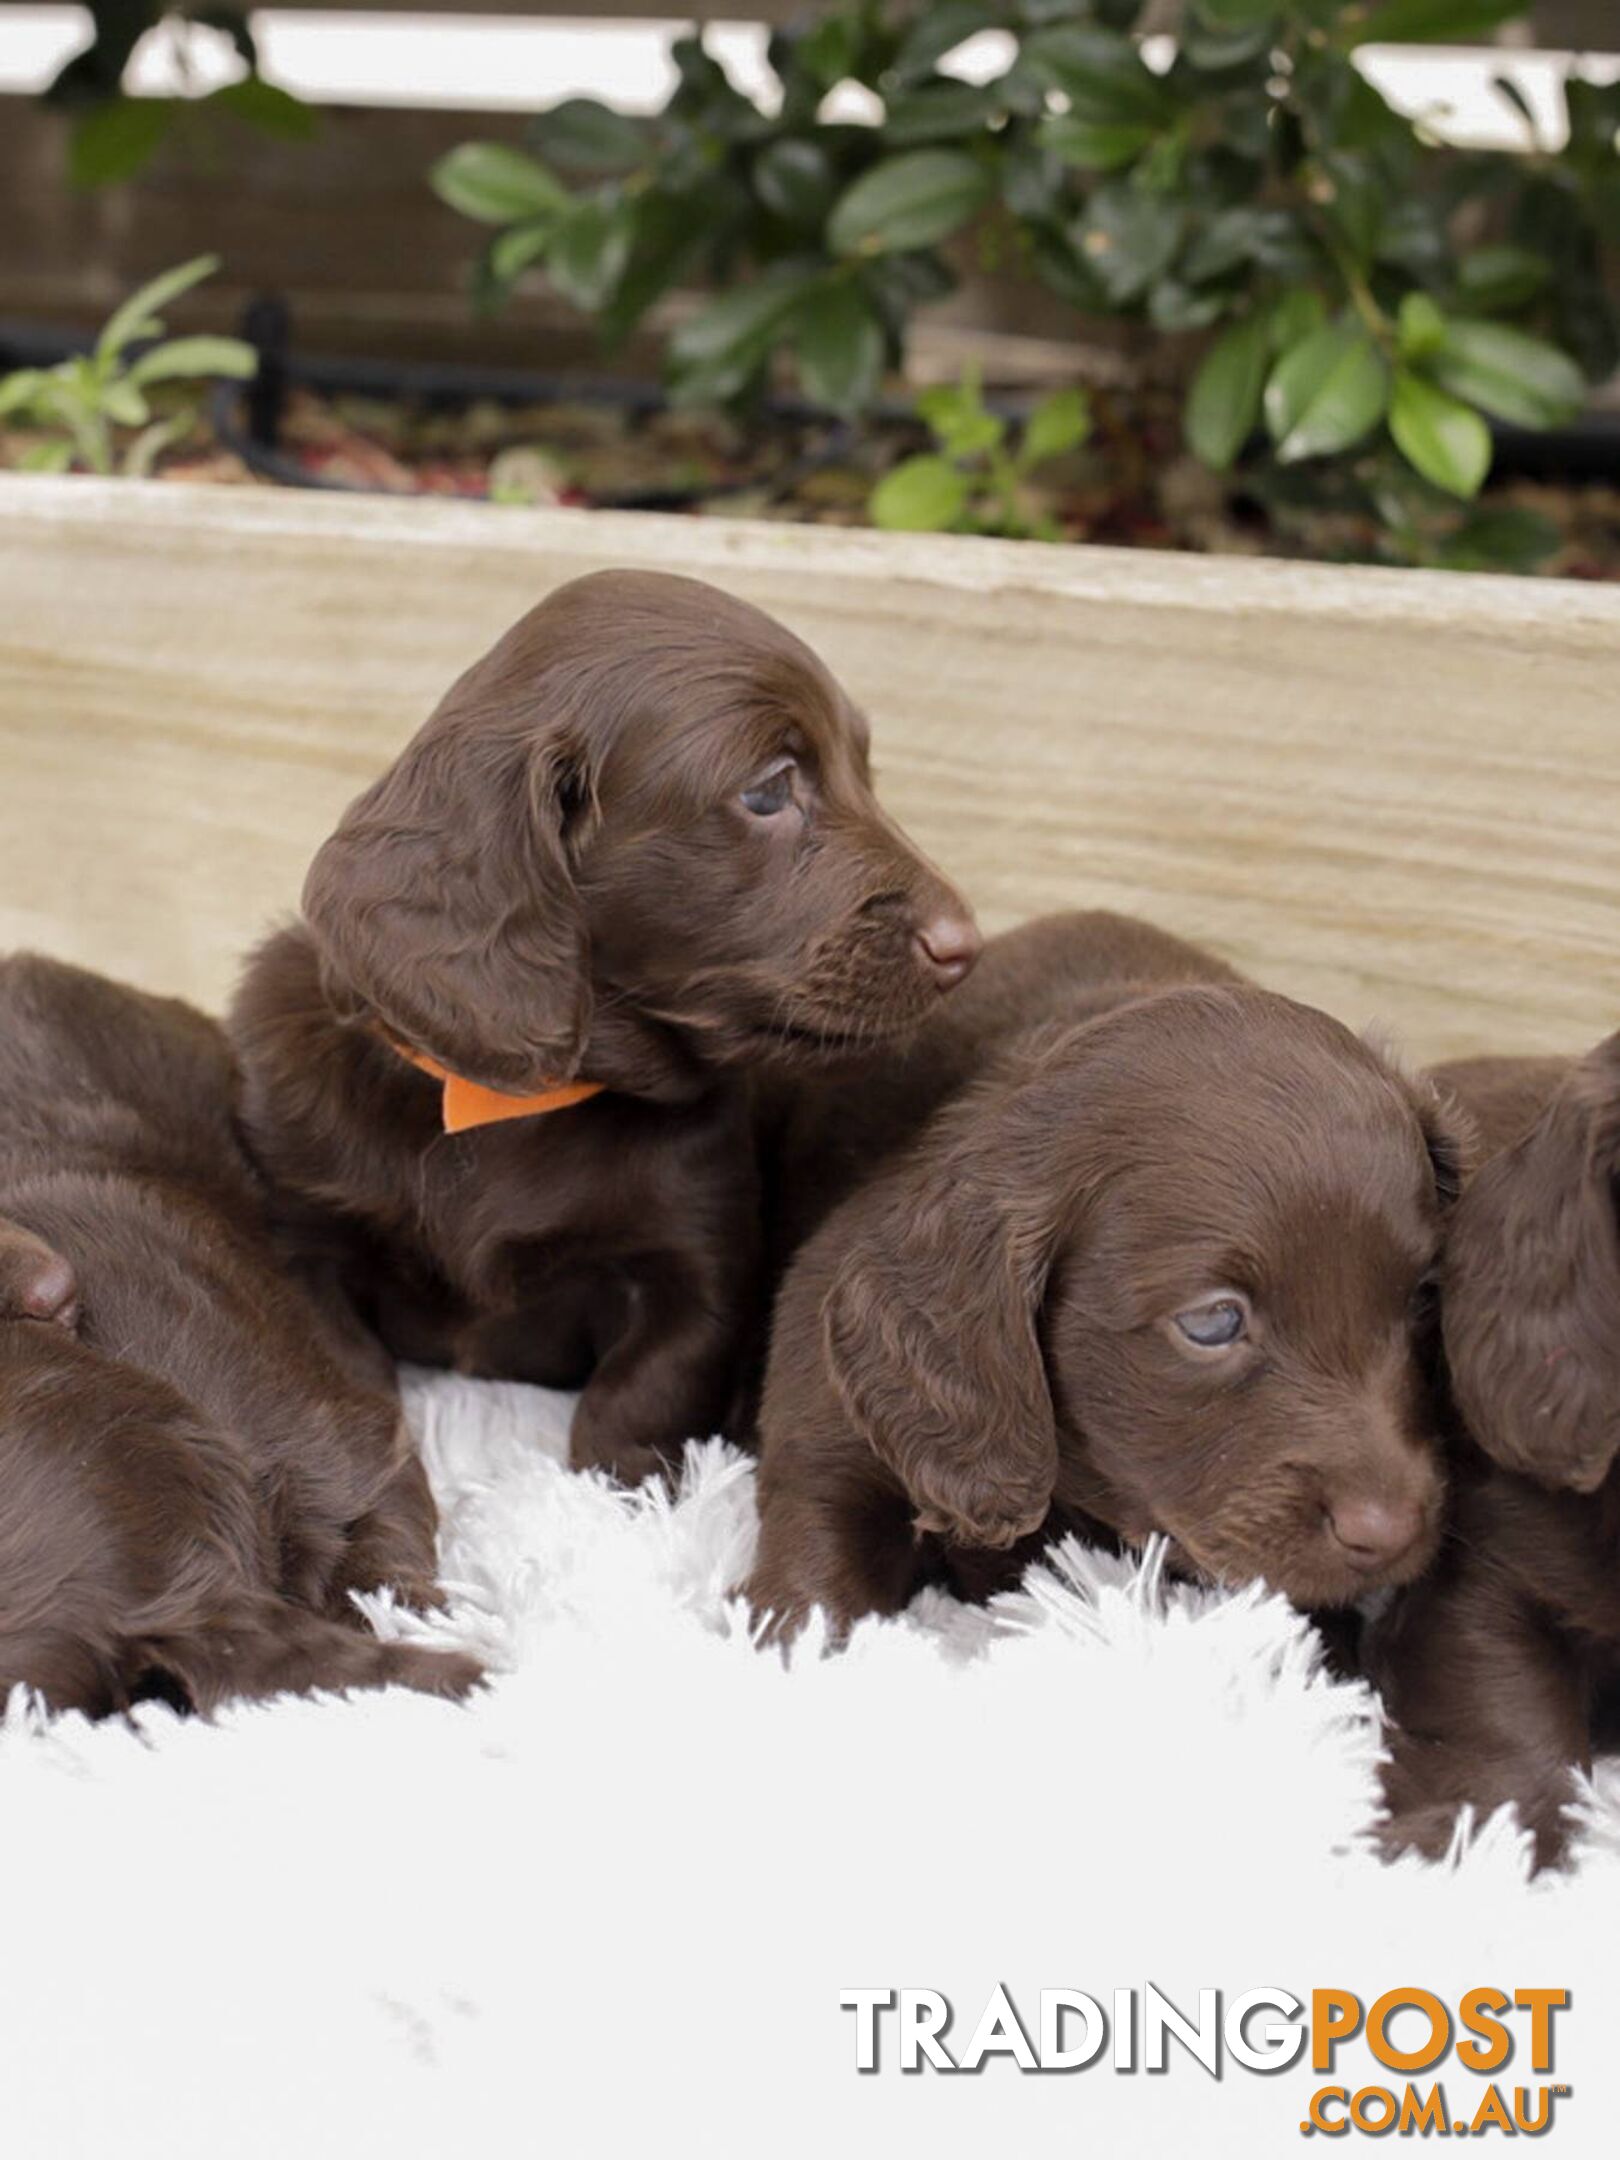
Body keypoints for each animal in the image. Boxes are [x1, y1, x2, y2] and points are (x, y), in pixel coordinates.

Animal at [233, 570, 984, 1486]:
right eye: (767, 791)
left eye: (865, 772)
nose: (967, 945)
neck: (509, 1103)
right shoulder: (310, 1246)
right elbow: (349, 1380)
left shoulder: (693, 1265)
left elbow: (639, 1395)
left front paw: (624, 1498)